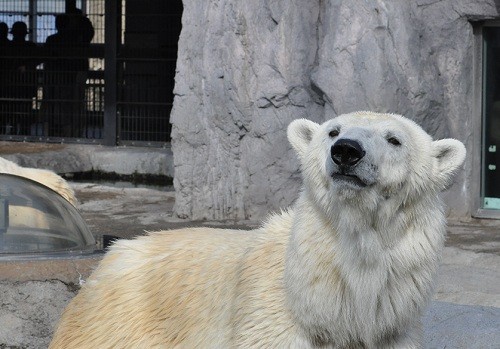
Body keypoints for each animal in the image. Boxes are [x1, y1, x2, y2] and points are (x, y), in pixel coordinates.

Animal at [50, 111, 464, 348]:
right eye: (333, 131)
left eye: (395, 139)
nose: (346, 151)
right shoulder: (270, 324)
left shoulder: (393, 331)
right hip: (118, 324)